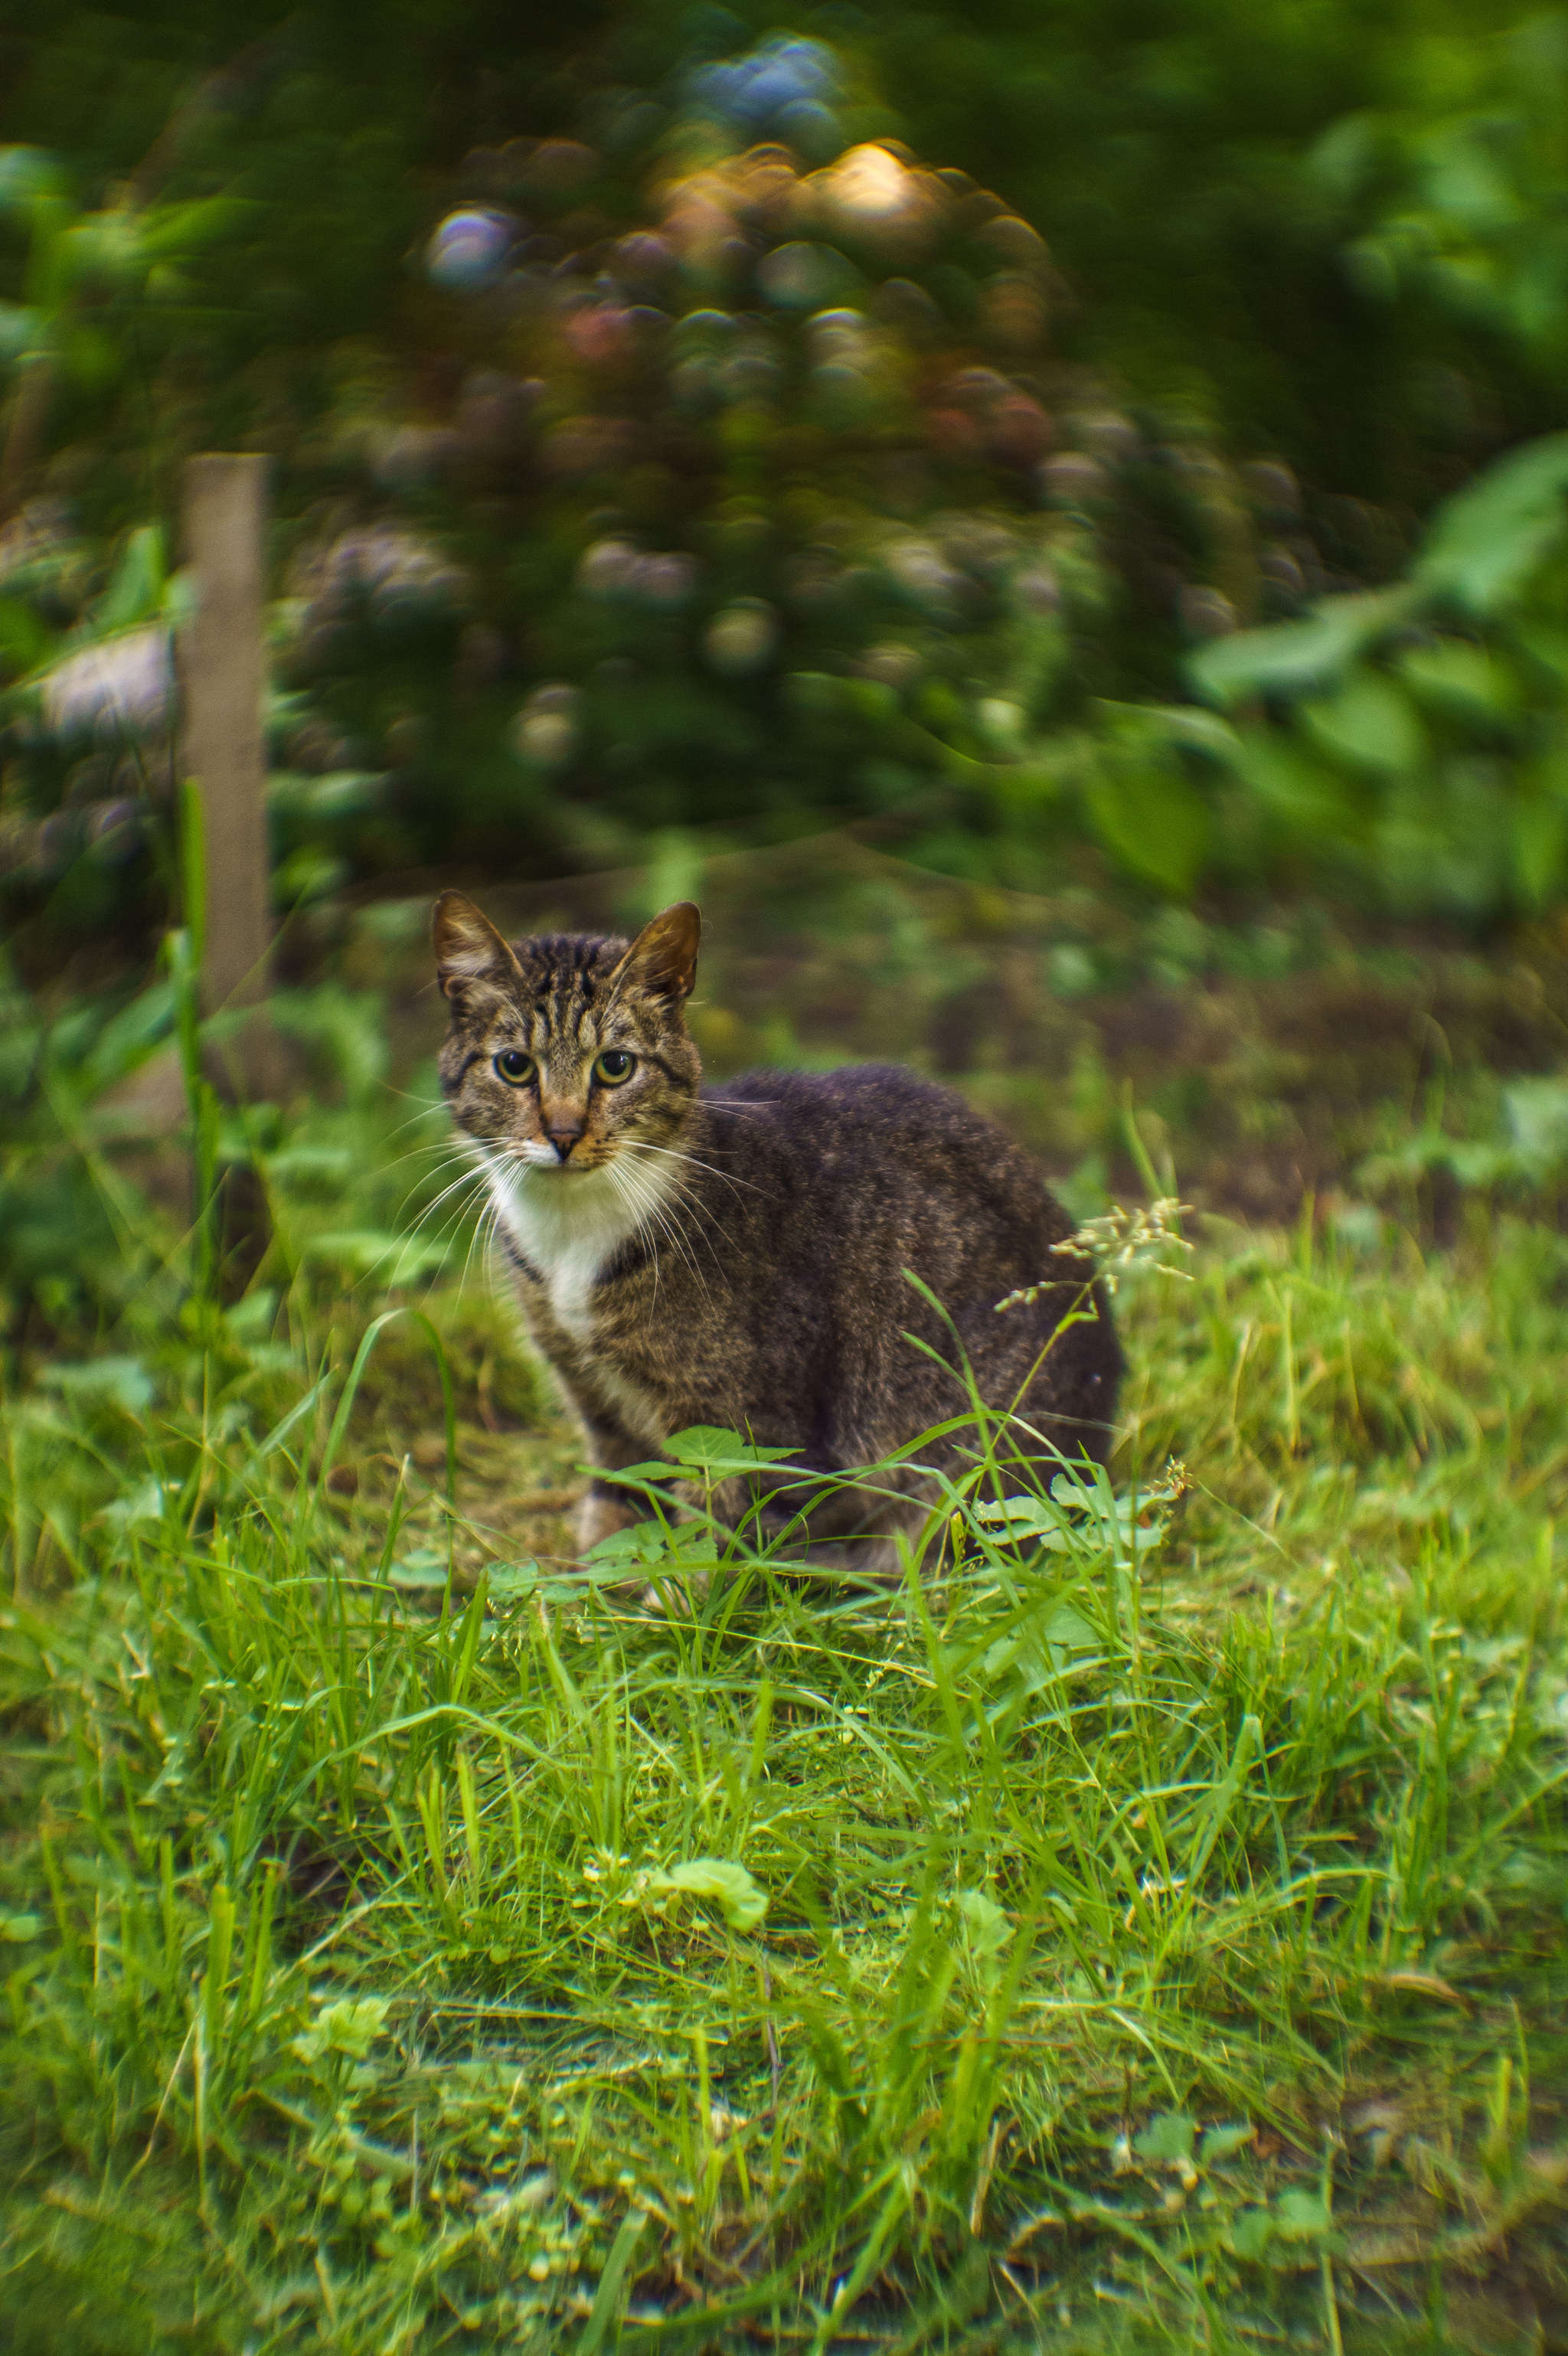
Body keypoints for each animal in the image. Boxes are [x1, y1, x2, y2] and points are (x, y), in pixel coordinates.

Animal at [430, 895, 1111, 1564]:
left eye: (616, 1067)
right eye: (515, 1067)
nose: (564, 1133)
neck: (573, 1235)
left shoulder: (752, 1426)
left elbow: (717, 1540)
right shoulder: (598, 1405)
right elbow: (619, 1512)